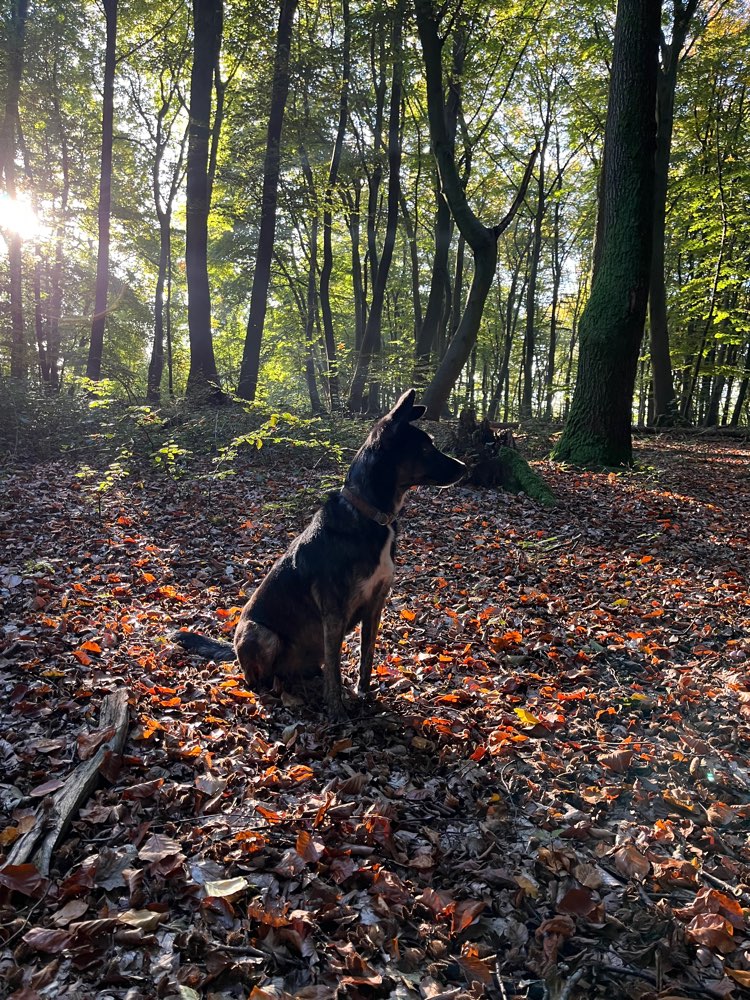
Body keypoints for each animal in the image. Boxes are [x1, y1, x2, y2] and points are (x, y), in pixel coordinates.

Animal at [174, 388, 468, 720]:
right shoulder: (334, 612)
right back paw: (276, 691)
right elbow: (336, 669)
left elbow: (366, 656)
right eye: (426, 447)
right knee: (257, 679)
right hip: (260, 634)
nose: (465, 467)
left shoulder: (375, 604)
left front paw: (363, 693)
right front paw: (337, 710)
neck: (370, 515)